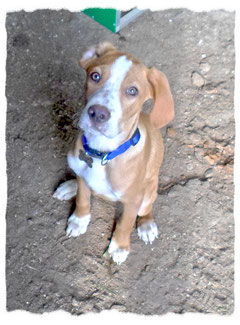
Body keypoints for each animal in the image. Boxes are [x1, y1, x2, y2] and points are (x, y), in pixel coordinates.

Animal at [54, 41, 174, 264]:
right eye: (95, 76)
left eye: (133, 90)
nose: (98, 114)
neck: (101, 154)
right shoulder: (84, 176)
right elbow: (83, 198)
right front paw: (79, 220)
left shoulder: (133, 200)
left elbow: (125, 223)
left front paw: (119, 247)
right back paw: (69, 186)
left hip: (149, 190)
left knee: (147, 208)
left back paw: (146, 225)